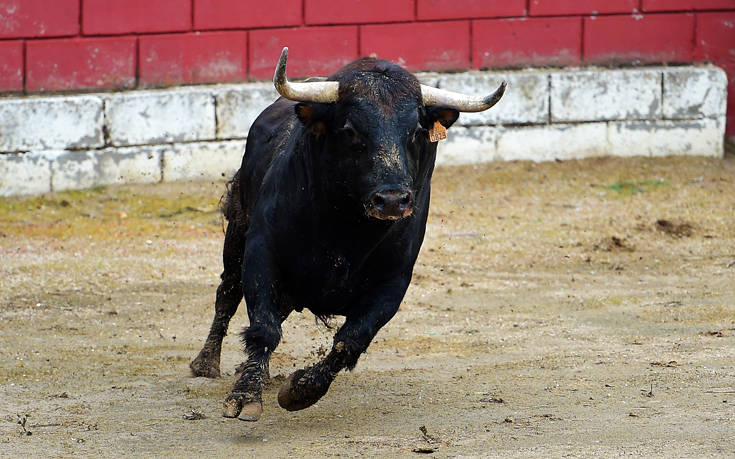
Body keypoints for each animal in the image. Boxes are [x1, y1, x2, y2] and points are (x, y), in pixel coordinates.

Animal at [190, 48, 506, 422]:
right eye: (351, 129)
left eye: (416, 130)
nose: (392, 200)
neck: (349, 231)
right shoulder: (261, 252)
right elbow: (263, 326)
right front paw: (244, 396)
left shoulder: (393, 282)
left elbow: (350, 340)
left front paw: (300, 391)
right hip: (237, 231)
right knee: (227, 294)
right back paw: (206, 363)